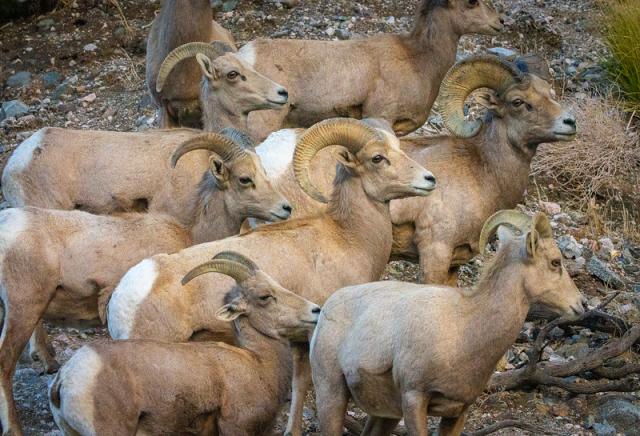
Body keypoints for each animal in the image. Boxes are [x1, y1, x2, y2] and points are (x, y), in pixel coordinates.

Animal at [310, 211, 584, 436]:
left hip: (385, 414)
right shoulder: (414, 399)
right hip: (331, 394)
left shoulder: (458, 412)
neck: (464, 330)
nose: (581, 304)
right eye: (555, 262)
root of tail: (325, 312)